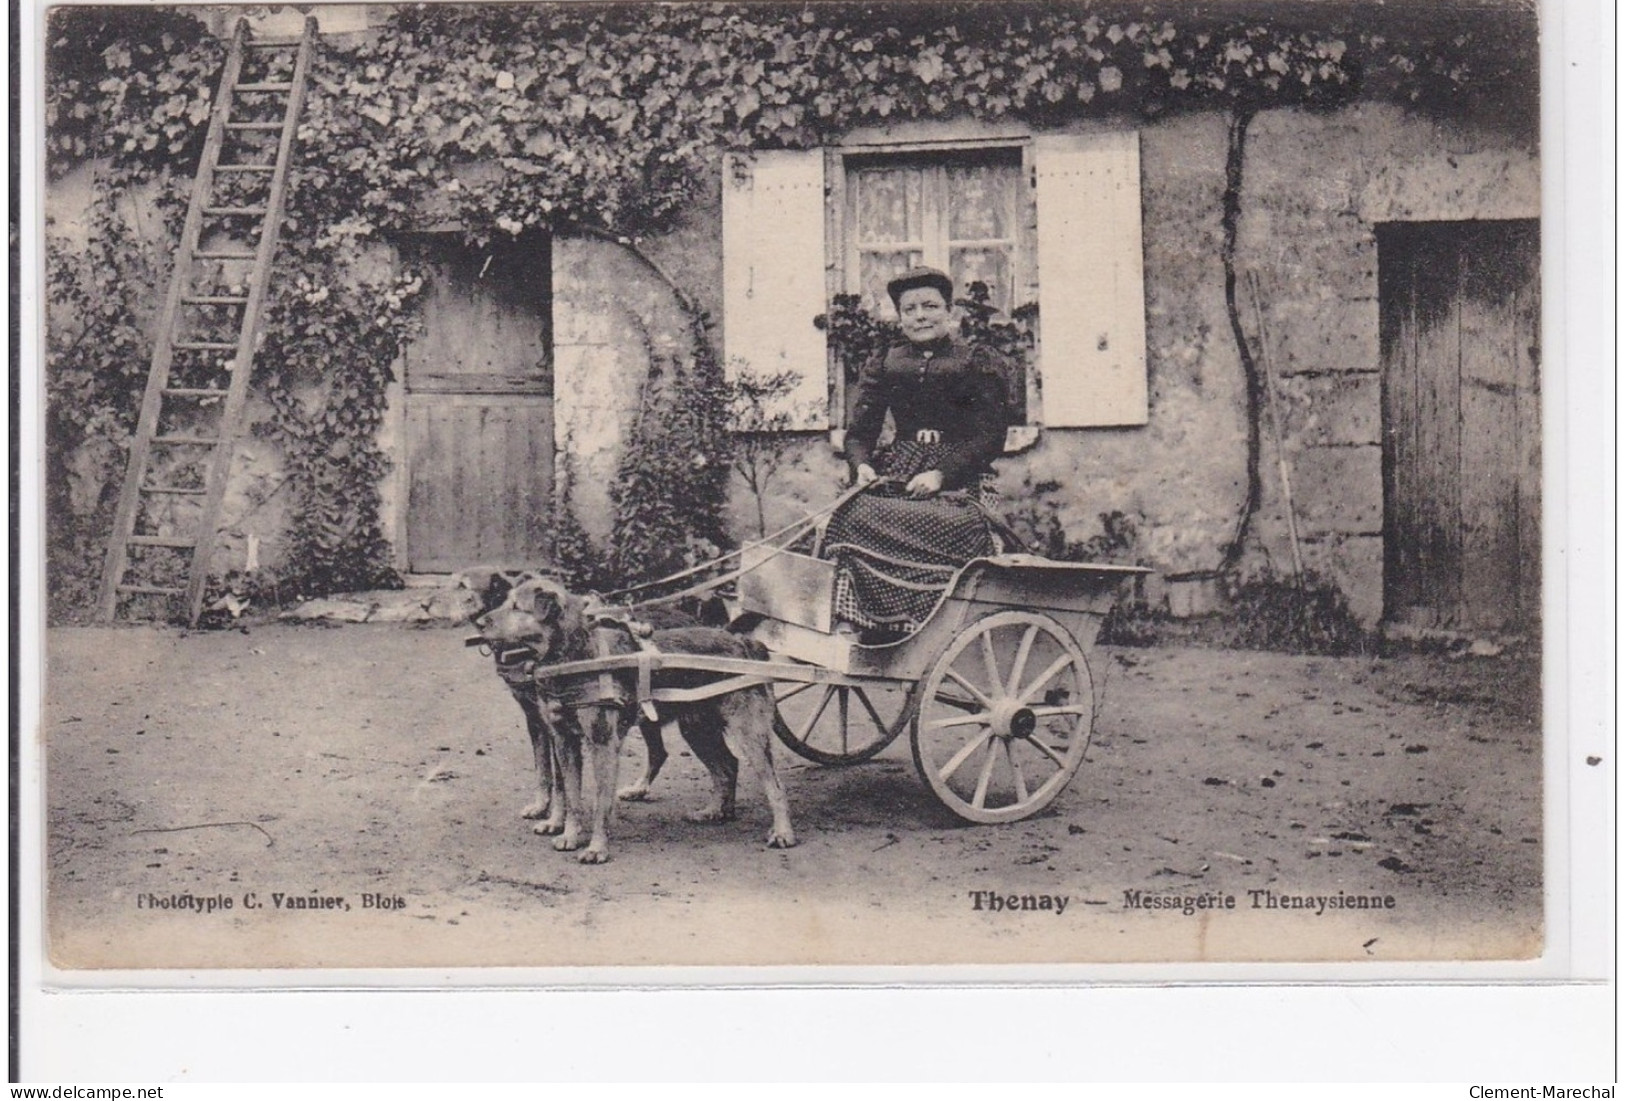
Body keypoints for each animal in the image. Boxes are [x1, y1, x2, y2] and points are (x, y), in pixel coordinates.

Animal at [464, 574, 793, 863]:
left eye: (517, 607)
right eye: (503, 601)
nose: (479, 623)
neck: (574, 656)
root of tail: (743, 644)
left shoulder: (601, 743)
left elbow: (598, 801)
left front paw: (596, 848)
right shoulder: (561, 738)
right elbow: (569, 793)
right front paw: (569, 835)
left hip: (749, 732)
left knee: (773, 783)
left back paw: (782, 832)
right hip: (697, 729)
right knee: (726, 766)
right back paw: (716, 811)